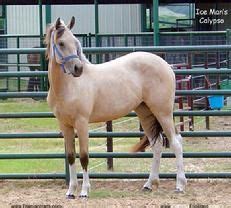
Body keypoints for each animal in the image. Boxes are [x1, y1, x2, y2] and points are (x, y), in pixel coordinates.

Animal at [44, 17, 187, 199]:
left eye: (75, 42)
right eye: (61, 43)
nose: (78, 69)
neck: (69, 86)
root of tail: (166, 65)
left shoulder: (82, 123)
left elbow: (83, 156)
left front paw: (84, 191)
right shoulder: (65, 125)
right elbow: (70, 156)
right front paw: (70, 191)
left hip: (163, 112)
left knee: (176, 142)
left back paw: (180, 185)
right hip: (145, 113)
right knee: (157, 145)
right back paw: (149, 184)